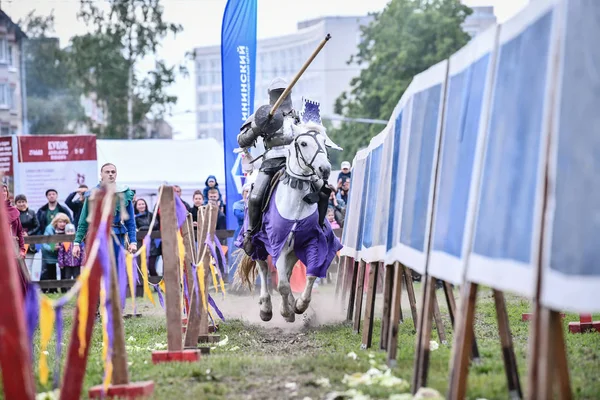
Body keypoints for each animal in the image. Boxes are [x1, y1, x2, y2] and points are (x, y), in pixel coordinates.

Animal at [234, 122, 342, 322]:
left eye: (324, 142)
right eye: (304, 143)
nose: (324, 169)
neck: (295, 201)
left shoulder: (311, 241)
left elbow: (312, 273)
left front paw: (299, 305)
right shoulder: (279, 244)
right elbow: (282, 284)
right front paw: (286, 312)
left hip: (292, 250)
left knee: (289, 272)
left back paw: (291, 302)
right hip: (258, 244)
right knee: (264, 270)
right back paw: (266, 308)